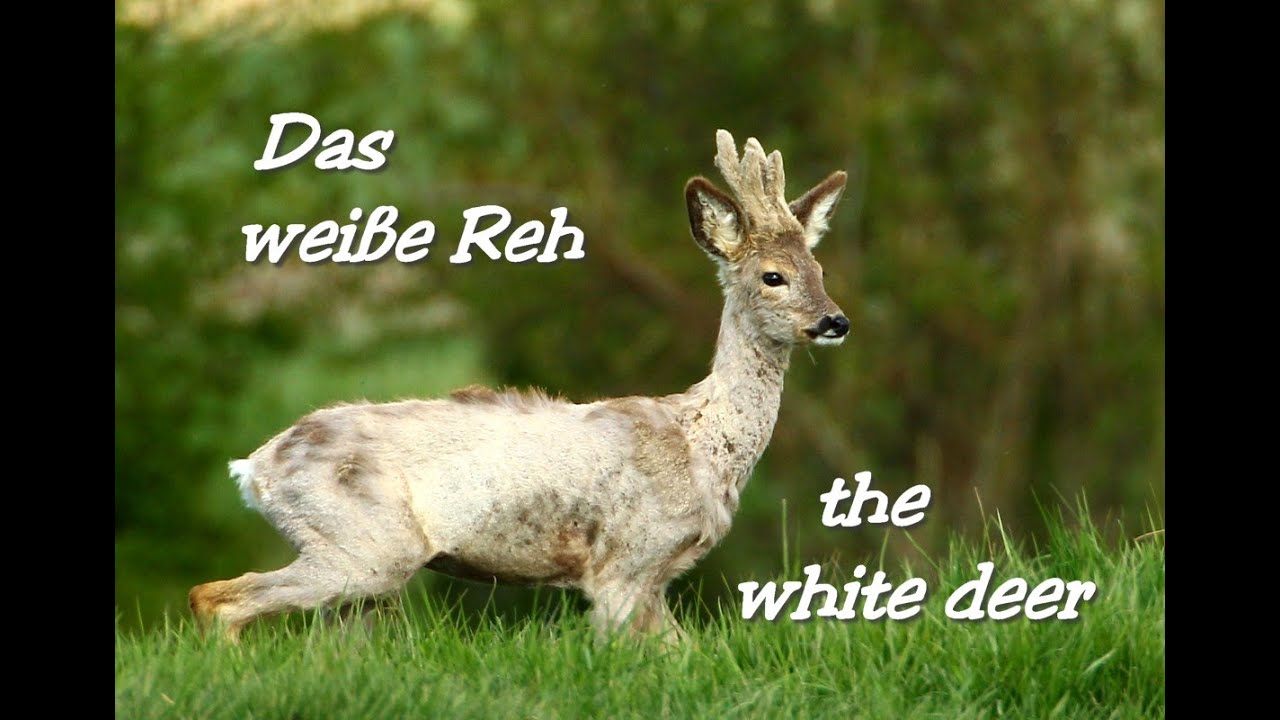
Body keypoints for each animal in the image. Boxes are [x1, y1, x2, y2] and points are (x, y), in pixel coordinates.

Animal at [189, 130, 850, 644]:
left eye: (820, 269)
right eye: (773, 276)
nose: (835, 321)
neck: (700, 443)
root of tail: (256, 467)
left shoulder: (655, 578)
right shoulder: (623, 560)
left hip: (361, 576)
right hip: (364, 546)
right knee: (215, 599)